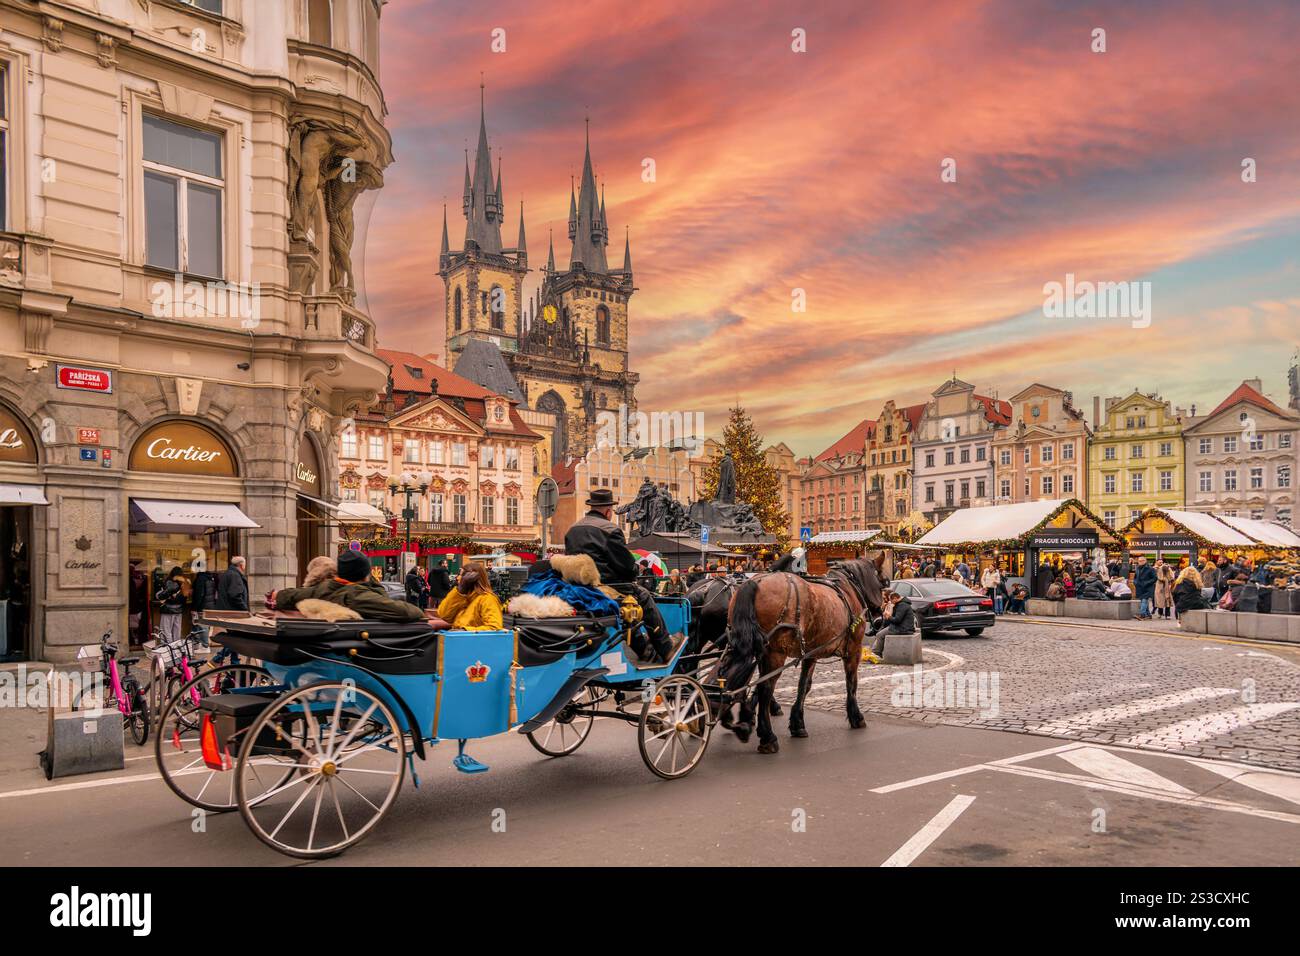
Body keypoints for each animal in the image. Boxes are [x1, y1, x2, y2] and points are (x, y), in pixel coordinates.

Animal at [717, 556, 889, 749]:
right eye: (884, 583)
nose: (879, 619)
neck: (848, 589)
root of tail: (756, 581)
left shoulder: (811, 653)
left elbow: (804, 685)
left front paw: (796, 723)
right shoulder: (853, 650)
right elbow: (851, 683)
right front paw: (856, 716)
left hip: (750, 647)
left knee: (732, 677)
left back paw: (732, 718)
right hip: (776, 653)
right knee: (766, 686)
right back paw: (767, 736)